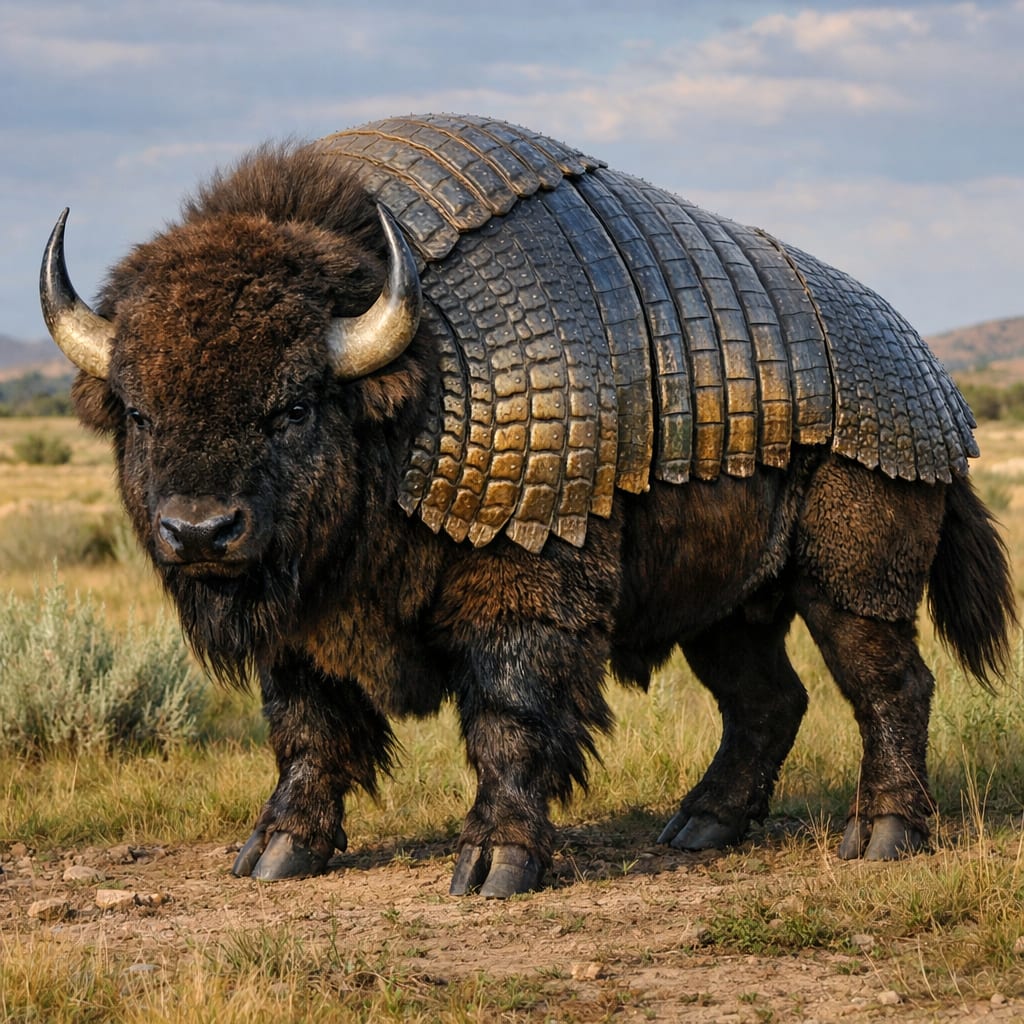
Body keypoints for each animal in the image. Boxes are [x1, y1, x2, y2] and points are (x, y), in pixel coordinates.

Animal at [41, 115, 1016, 897]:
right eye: (137, 411)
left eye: (294, 405)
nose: (199, 532)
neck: (415, 374)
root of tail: (941, 392)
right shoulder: (304, 623)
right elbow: (306, 727)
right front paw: (276, 852)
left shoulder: (529, 570)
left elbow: (510, 711)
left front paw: (495, 864)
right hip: (725, 613)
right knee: (768, 699)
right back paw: (699, 827)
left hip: (853, 576)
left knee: (888, 682)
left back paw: (883, 835)